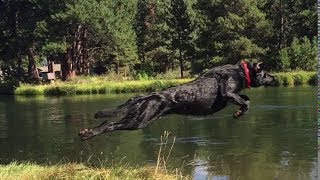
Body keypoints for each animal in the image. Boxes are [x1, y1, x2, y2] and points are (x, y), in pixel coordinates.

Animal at [79, 60, 276, 141]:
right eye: (266, 73)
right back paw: (88, 134)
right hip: (138, 121)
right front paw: (238, 113)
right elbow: (246, 102)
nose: (276, 79)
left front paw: (239, 111)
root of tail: (143, 96)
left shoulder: (231, 96)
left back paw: (86, 131)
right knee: (109, 125)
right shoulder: (227, 93)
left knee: (107, 122)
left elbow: (246, 98)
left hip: (138, 119)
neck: (242, 72)